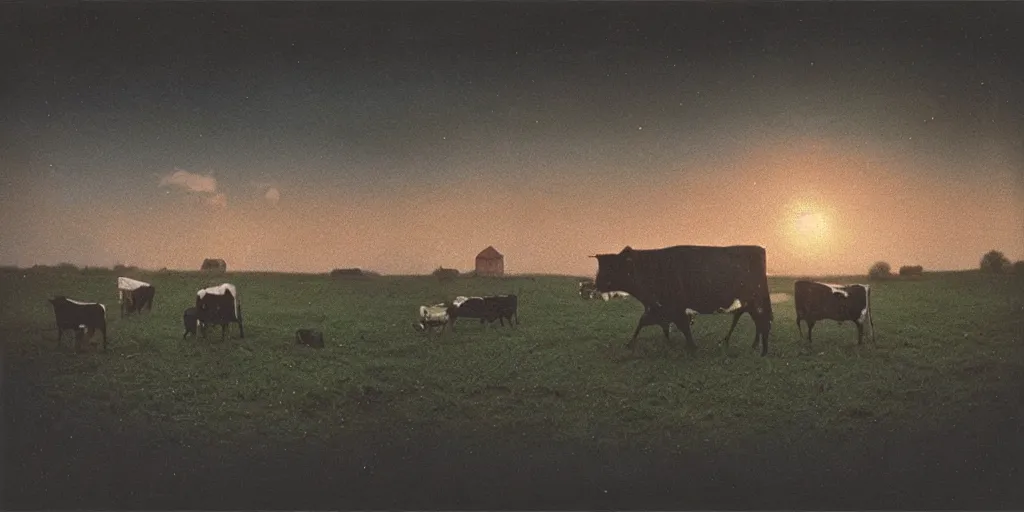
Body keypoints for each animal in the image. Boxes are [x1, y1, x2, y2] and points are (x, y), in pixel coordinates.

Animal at [589, 244, 770, 356]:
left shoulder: (672, 309)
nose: (596, 282)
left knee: (760, 320)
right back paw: (748, 344)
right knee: (754, 320)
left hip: (754, 301)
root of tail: (758, 249)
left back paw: (757, 348)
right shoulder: (656, 310)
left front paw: (691, 346)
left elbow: (682, 327)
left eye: (613, 266)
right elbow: (647, 324)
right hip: (750, 302)